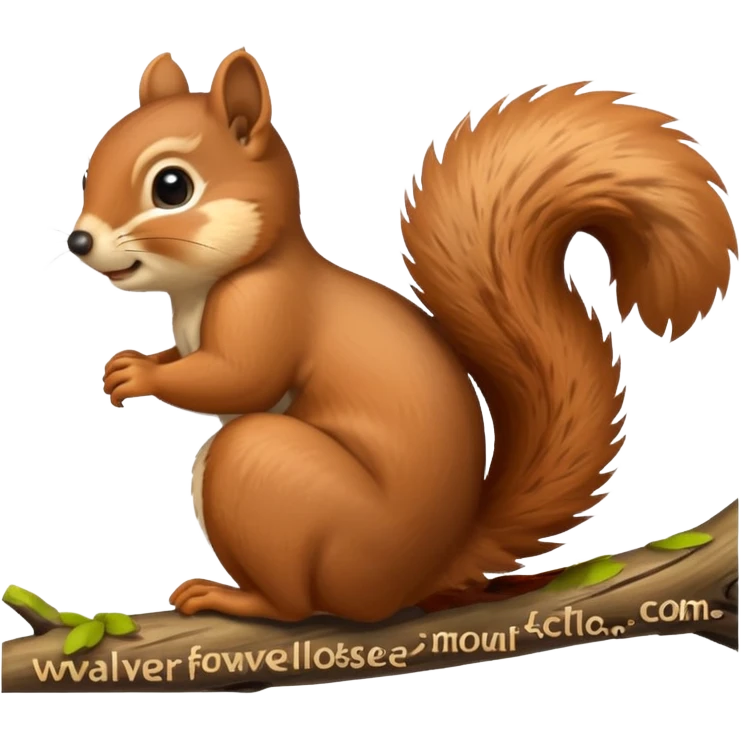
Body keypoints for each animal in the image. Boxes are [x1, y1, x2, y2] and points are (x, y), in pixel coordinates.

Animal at [69, 49, 738, 623]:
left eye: (172, 187)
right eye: (90, 167)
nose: (79, 240)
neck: (202, 287)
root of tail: (426, 572)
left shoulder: (267, 304)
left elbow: (239, 378)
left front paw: (139, 373)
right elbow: (192, 360)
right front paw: (128, 366)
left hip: (267, 475)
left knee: (296, 603)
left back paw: (236, 600)